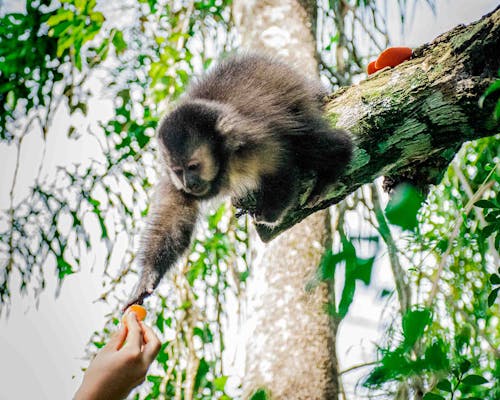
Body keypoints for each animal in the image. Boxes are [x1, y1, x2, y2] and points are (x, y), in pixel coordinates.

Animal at [124, 54, 352, 308]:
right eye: (178, 171)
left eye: (193, 167)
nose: (190, 184)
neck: (224, 159)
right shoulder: (171, 178)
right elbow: (172, 219)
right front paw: (148, 276)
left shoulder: (251, 137)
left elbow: (282, 161)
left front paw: (269, 213)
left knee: (304, 137)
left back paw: (339, 157)